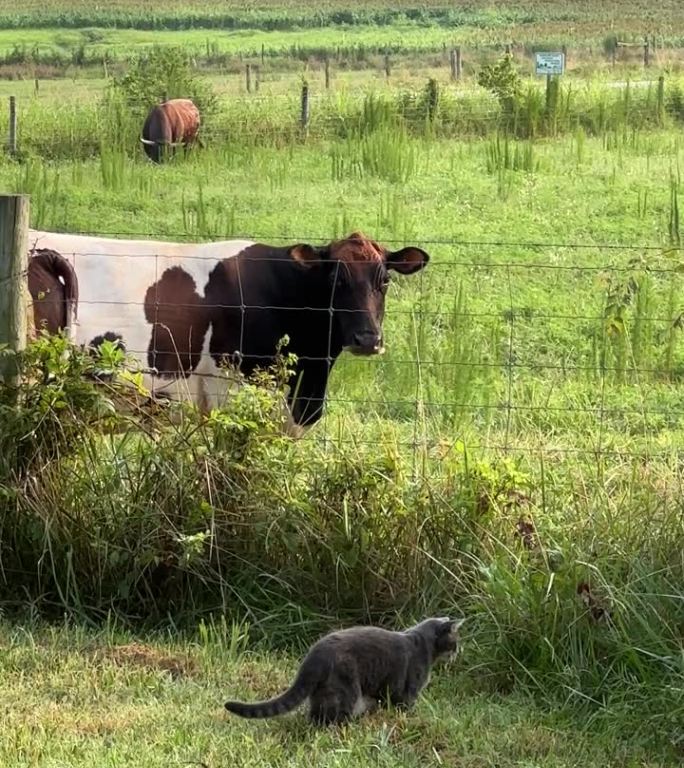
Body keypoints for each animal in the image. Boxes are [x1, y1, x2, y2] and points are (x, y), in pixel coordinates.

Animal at [224, 616, 464, 728]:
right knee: (332, 717)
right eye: (455, 641)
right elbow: (406, 706)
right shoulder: (408, 690)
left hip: (323, 691)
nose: (458, 652)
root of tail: (314, 655)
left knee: (315, 714)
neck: (424, 645)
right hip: (347, 688)